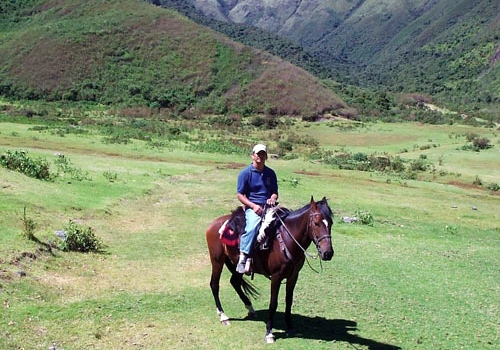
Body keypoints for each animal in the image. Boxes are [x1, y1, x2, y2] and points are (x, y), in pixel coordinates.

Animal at [205, 196, 334, 344]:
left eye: (331, 223)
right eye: (317, 223)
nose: (328, 253)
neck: (285, 239)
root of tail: (214, 223)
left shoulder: (293, 276)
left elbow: (289, 301)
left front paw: (290, 327)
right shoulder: (276, 276)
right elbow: (273, 303)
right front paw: (269, 333)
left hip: (237, 265)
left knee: (235, 282)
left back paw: (250, 308)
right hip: (217, 260)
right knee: (214, 285)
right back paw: (223, 316)